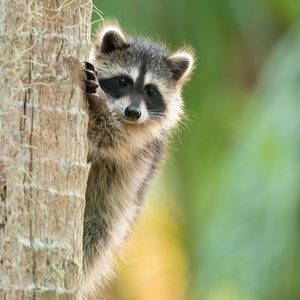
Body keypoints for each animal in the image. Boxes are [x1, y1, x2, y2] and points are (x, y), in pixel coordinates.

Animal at [82, 21, 195, 298]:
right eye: (123, 81)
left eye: (151, 91)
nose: (133, 112)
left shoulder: (141, 144)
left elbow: (112, 137)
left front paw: (99, 109)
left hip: (111, 216)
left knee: (95, 239)